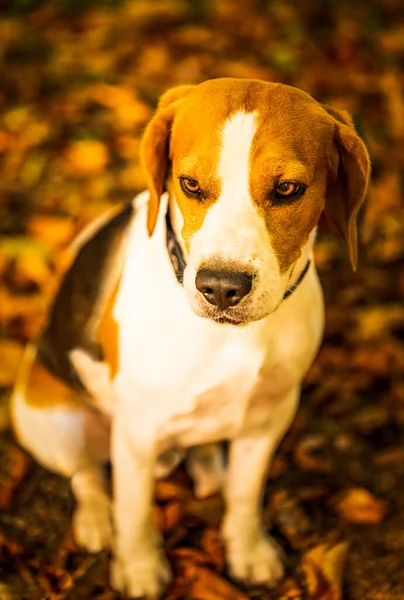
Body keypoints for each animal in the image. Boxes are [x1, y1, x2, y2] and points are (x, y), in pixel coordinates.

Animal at [10, 77, 370, 596]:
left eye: (287, 189)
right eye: (191, 185)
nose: (221, 287)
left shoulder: (270, 417)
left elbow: (245, 493)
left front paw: (247, 550)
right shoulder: (136, 432)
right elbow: (134, 510)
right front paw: (139, 568)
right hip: (50, 421)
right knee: (86, 474)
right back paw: (96, 521)